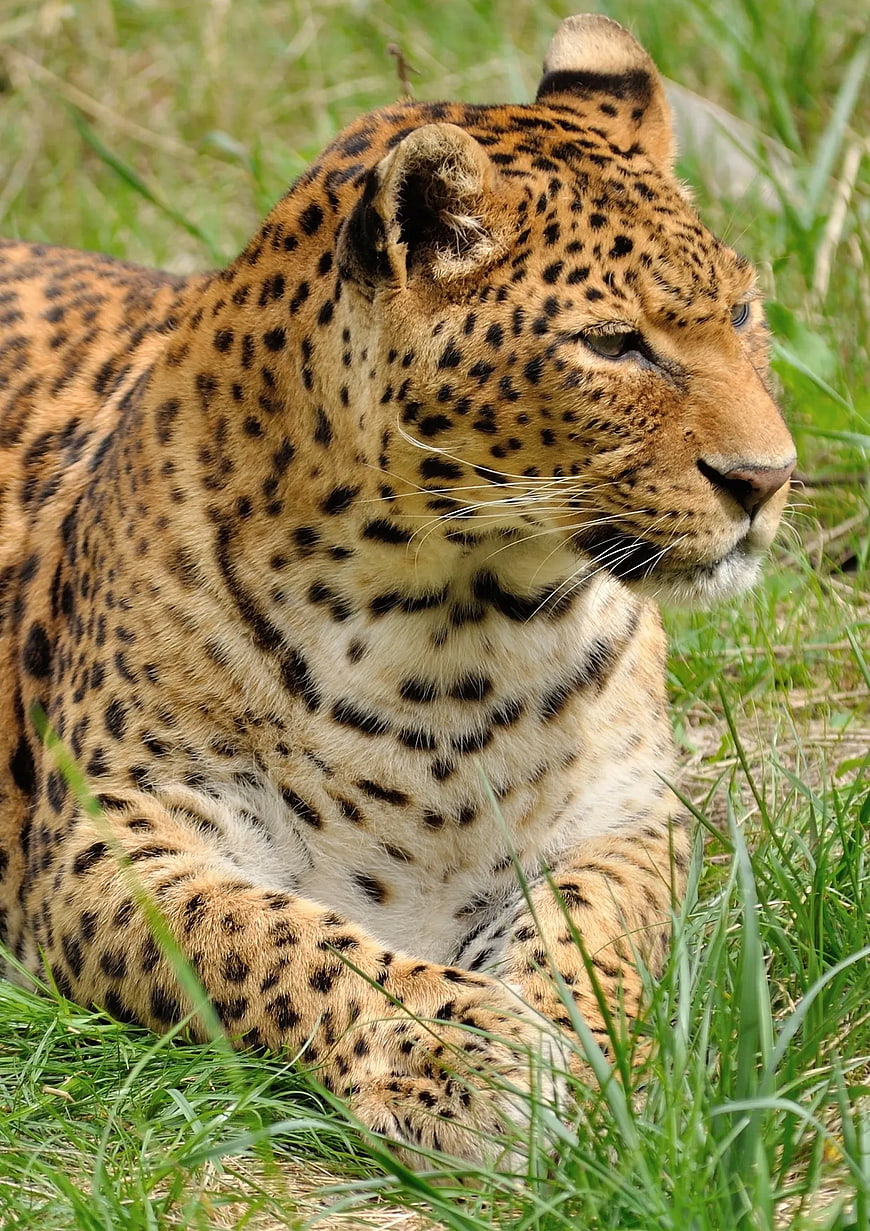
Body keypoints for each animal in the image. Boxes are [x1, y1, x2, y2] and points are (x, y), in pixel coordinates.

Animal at [0, 14, 795, 1169]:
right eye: (612, 344)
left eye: (741, 311)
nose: (768, 479)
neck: (458, 625)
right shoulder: (110, 838)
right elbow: (281, 939)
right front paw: (454, 1059)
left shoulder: (628, 817)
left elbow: (587, 930)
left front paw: (574, 1046)